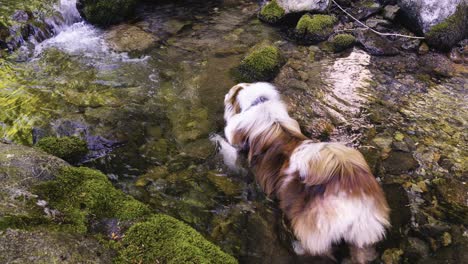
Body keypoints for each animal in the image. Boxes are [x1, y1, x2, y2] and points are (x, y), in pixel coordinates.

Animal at [221, 82, 390, 262]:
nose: (226, 94)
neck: (260, 104)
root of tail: (355, 197)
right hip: (363, 235)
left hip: (314, 228)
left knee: (317, 249)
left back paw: (298, 247)